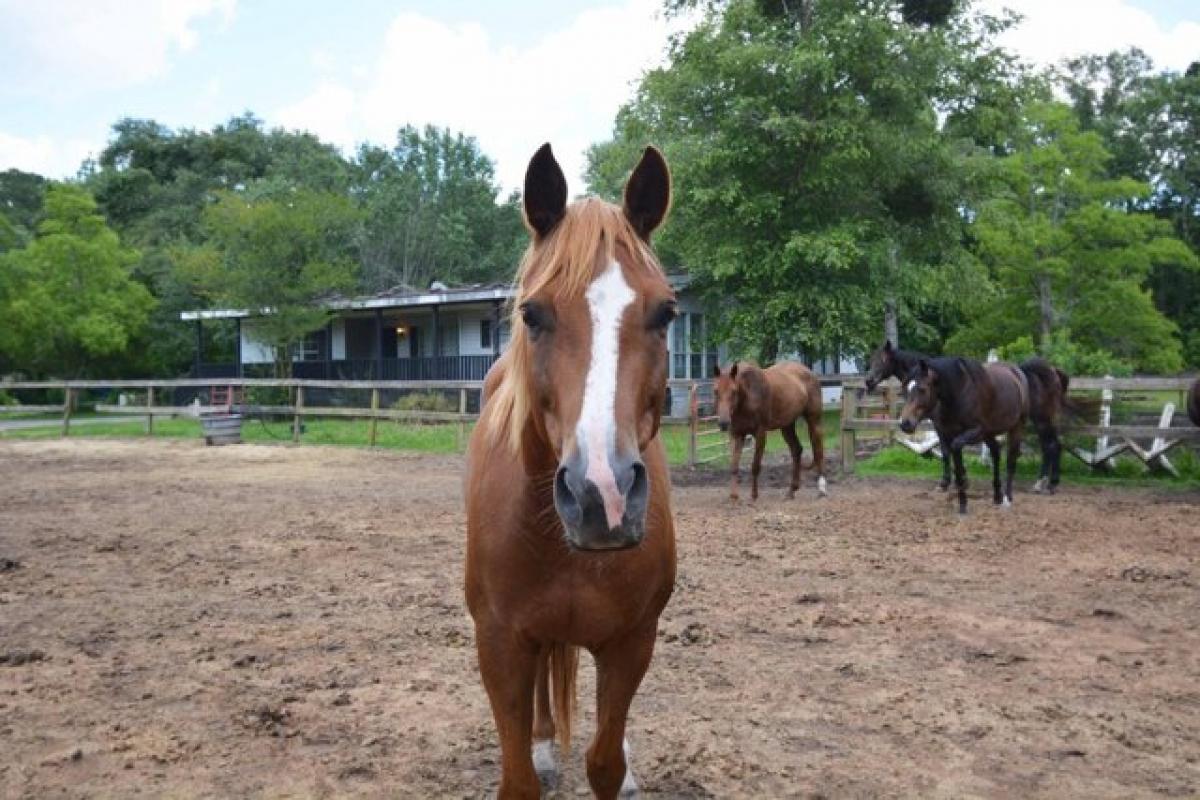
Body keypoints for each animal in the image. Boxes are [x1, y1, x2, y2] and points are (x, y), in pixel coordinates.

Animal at [465, 143, 681, 800]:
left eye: (666, 313)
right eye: (533, 314)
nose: (601, 495)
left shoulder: (632, 642)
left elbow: (604, 761)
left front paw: (622, 766)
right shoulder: (500, 642)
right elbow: (518, 782)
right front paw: (534, 756)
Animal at [710, 362, 825, 501]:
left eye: (734, 391)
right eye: (716, 391)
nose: (723, 423)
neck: (748, 396)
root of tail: (809, 371)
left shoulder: (760, 433)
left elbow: (755, 466)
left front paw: (754, 495)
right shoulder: (737, 434)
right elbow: (734, 465)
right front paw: (734, 496)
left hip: (813, 420)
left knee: (818, 449)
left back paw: (822, 489)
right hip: (787, 426)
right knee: (796, 450)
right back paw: (791, 491)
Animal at [902, 355, 1027, 513]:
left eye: (922, 389)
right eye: (906, 389)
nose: (905, 423)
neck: (959, 393)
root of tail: (1017, 373)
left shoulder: (973, 432)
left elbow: (956, 457)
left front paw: (962, 501)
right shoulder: (949, 434)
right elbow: (955, 463)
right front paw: (962, 504)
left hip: (1016, 427)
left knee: (1011, 461)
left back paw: (1007, 499)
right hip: (989, 434)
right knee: (996, 453)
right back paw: (997, 496)